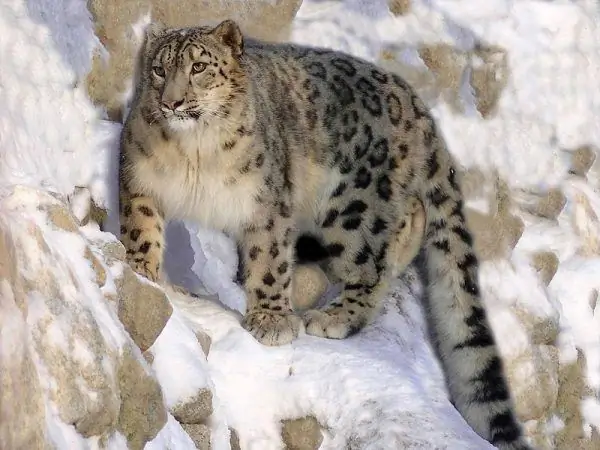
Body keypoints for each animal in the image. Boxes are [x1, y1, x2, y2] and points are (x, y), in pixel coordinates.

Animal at [119, 19, 532, 448]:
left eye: (199, 67)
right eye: (159, 69)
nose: (172, 103)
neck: (194, 153)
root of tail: (417, 105)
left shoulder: (268, 202)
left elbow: (269, 260)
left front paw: (271, 320)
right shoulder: (141, 178)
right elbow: (142, 227)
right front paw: (141, 270)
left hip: (355, 207)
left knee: (374, 261)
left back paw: (335, 315)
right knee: (411, 220)